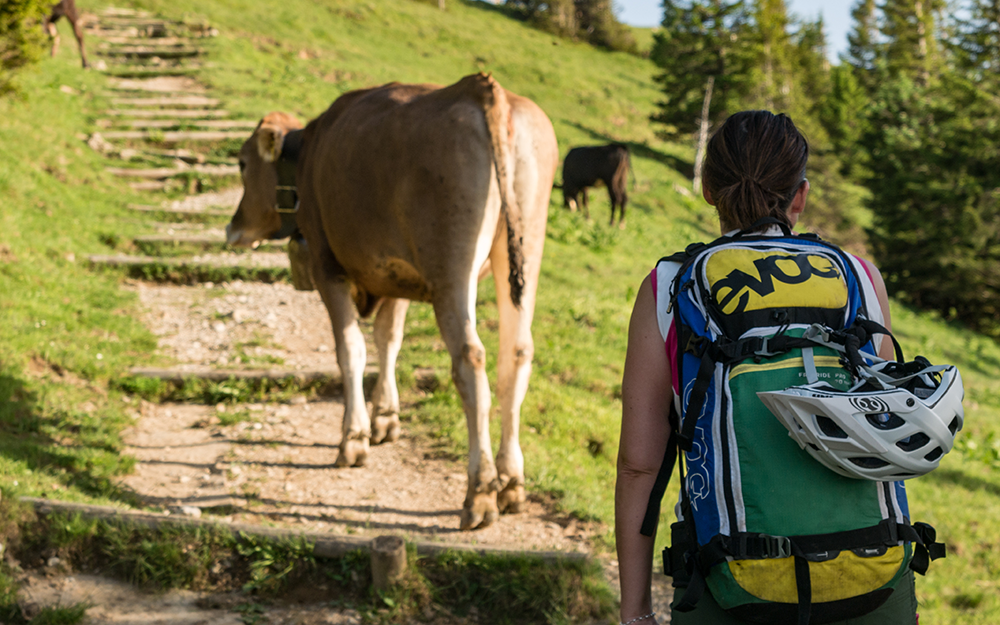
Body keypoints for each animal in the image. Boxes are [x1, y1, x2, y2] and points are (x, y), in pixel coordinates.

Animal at [225, 74, 564, 532]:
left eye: (242, 163)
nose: (232, 228)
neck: (311, 152)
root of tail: (481, 87)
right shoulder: (397, 272)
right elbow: (389, 338)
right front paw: (385, 417)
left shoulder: (328, 268)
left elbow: (350, 349)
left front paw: (354, 438)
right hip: (524, 248)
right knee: (517, 353)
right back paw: (511, 482)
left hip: (450, 267)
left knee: (470, 359)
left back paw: (480, 492)